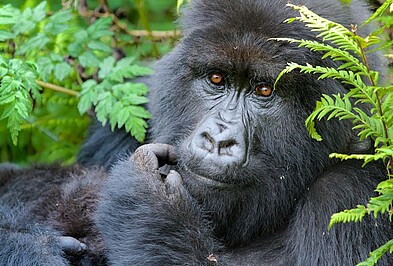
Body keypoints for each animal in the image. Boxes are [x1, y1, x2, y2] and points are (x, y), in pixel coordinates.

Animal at [0, 0, 392, 264]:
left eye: (264, 90)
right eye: (216, 79)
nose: (218, 140)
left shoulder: (352, 191)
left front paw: (150, 206)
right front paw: (30, 248)